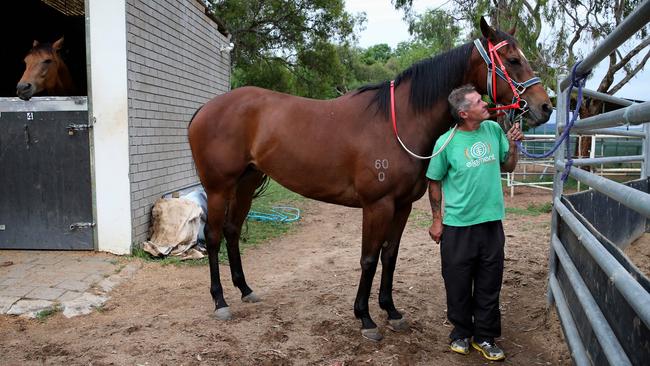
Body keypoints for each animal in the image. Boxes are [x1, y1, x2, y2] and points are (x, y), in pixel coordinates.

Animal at [187, 18, 552, 342]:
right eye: (513, 60)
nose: (545, 107)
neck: (399, 121)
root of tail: (205, 108)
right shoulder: (377, 206)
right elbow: (368, 258)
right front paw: (365, 318)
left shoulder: (402, 206)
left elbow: (389, 256)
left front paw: (391, 311)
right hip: (218, 188)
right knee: (214, 236)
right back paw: (220, 301)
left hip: (246, 183)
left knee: (232, 231)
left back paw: (245, 289)